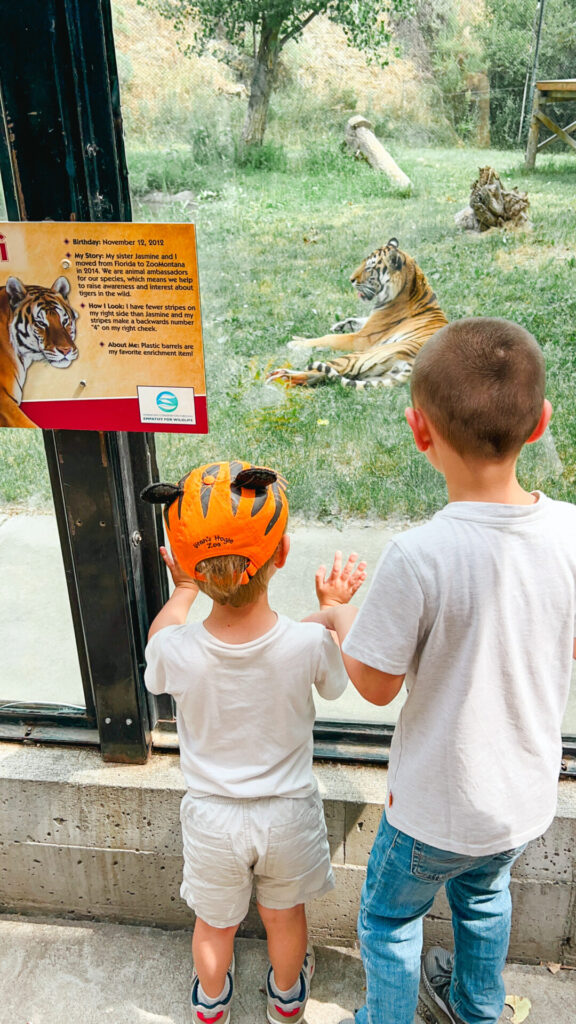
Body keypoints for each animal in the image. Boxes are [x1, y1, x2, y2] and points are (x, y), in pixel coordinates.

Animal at [266, 237, 448, 389]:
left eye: (369, 268)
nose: (351, 279)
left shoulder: (361, 339)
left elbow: (328, 338)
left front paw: (295, 342)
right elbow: (358, 320)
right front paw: (339, 325)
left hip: (361, 355)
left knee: (323, 368)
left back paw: (279, 376)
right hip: (374, 377)